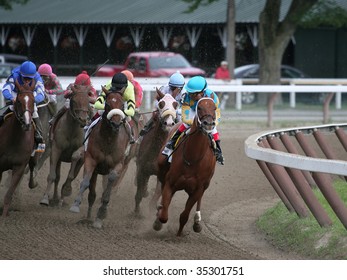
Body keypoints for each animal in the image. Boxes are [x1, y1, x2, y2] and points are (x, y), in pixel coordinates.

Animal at [0, 80, 36, 217]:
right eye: (19, 101)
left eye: (33, 101)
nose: (26, 124)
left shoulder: (19, 166)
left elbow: (9, 194)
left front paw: (5, 215)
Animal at [69, 86, 140, 229]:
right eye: (107, 104)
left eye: (122, 105)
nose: (115, 124)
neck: (109, 140)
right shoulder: (91, 160)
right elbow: (85, 182)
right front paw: (76, 204)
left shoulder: (118, 164)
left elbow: (109, 187)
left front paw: (101, 214)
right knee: (92, 194)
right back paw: (88, 217)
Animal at [153, 97, 218, 236]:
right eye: (199, 107)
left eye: (214, 108)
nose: (208, 124)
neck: (193, 157)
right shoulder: (170, 183)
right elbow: (164, 215)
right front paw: (157, 220)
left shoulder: (197, 189)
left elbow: (184, 216)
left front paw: (178, 235)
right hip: (162, 169)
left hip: (206, 184)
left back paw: (197, 221)